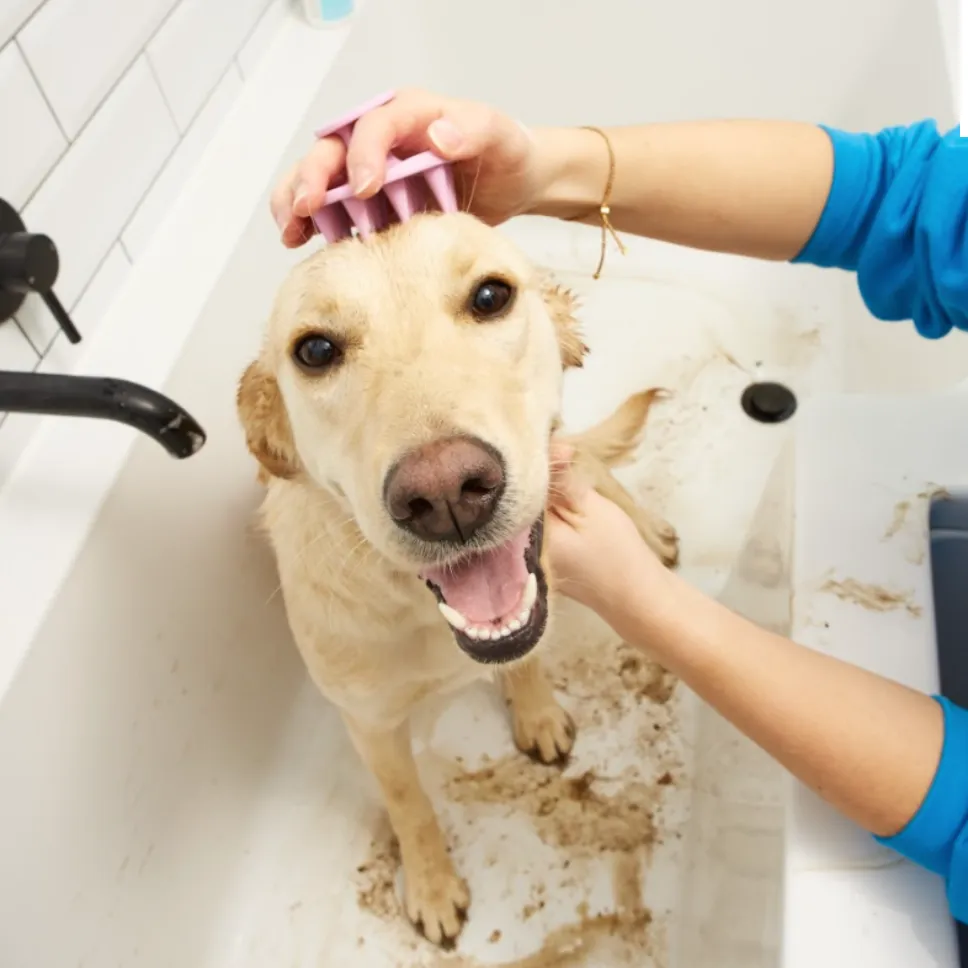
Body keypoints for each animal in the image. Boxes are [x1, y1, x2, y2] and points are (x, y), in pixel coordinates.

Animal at [235, 212, 676, 944]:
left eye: (491, 297)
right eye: (316, 350)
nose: (445, 493)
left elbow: (527, 656)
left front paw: (537, 713)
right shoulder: (369, 722)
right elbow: (407, 800)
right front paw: (433, 885)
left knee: (594, 466)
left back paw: (649, 530)